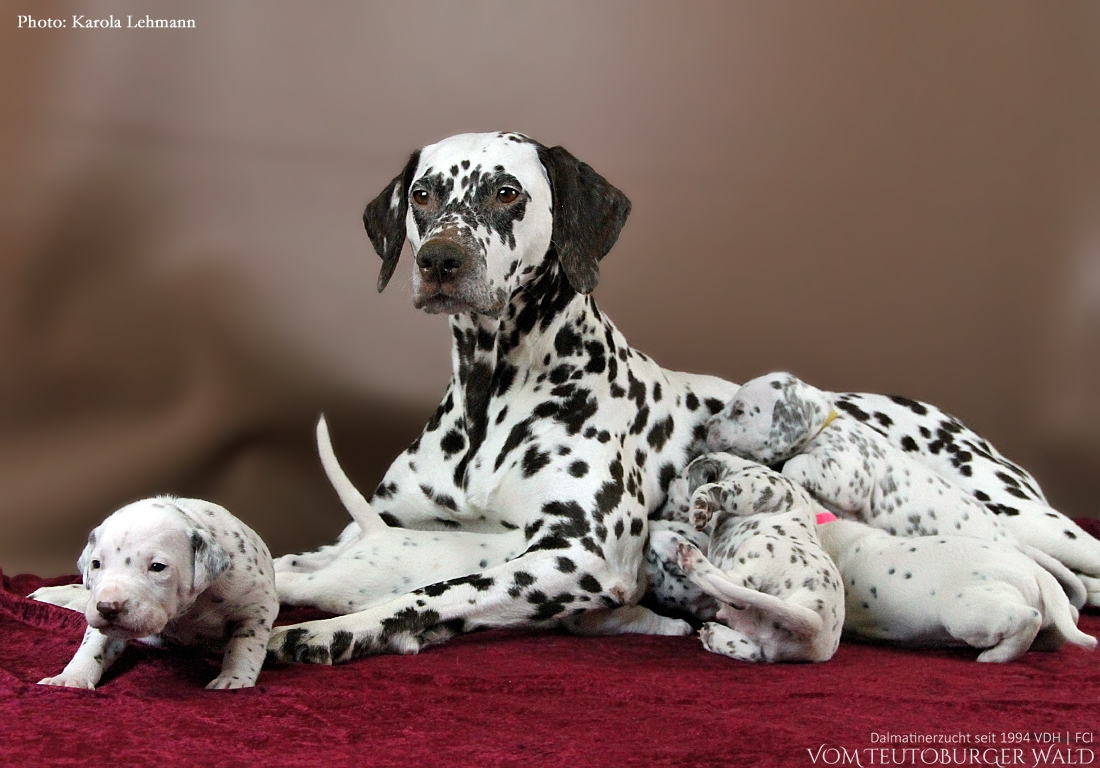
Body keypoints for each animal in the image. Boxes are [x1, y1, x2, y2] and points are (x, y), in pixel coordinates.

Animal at [34, 496, 277, 690]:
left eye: (157, 567)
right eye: (96, 564)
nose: (107, 608)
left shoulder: (257, 606)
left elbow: (244, 645)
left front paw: (233, 679)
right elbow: (93, 645)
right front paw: (71, 677)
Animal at [649, 464, 844, 662]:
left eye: (671, 490)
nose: (659, 514)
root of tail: (817, 622)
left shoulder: (760, 487)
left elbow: (715, 490)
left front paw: (699, 507)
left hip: (760, 545)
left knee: (735, 590)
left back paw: (691, 559)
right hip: (765, 647)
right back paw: (713, 634)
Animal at [706, 372, 1097, 607]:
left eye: (740, 411)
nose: (708, 426)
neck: (826, 424)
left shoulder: (846, 470)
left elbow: (796, 465)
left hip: (1036, 520)